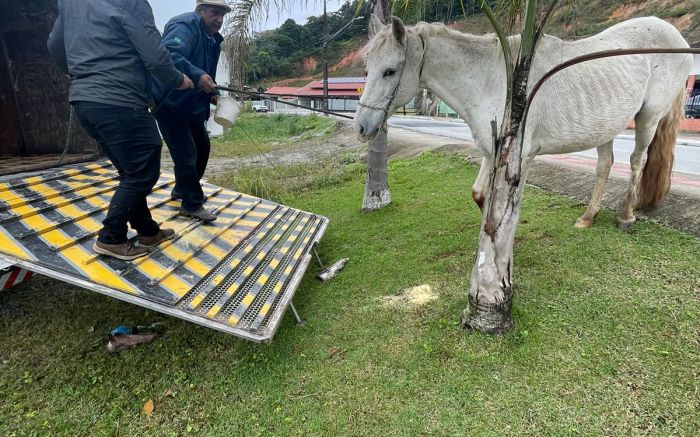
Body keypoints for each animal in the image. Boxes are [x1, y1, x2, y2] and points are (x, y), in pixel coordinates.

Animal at [352, 15, 692, 228]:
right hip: (606, 124)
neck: (494, 79)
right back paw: (589, 216)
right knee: (605, 165)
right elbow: (480, 195)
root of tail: (678, 40)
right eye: (368, 68)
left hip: (648, 118)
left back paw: (626, 216)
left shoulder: (518, 155)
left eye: (390, 71)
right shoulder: (492, 149)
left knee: (637, 161)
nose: (361, 127)